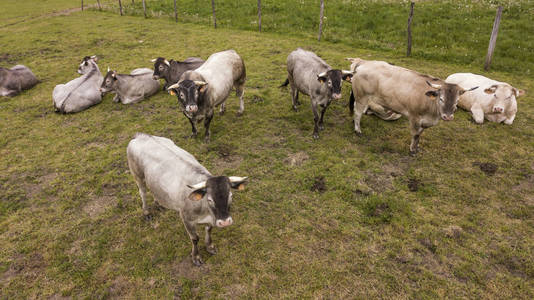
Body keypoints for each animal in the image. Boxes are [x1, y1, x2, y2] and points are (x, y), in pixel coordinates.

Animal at [127, 132, 249, 266]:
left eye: (231, 196)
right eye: (210, 199)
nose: (225, 222)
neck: (205, 210)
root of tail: (141, 135)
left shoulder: (211, 219)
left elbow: (209, 230)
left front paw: (210, 246)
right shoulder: (186, 218)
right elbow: (195, 238)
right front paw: (196, 257)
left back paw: (158, 203)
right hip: (137, 175)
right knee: (143, 193)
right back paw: (147, 212)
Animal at [350, 57, 480, 155]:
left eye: (457, 101)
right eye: (441, 99)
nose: (448, 117)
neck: (433, 113)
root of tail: (365, 62)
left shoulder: (425, 122)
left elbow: (420, 134)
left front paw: (416, 147)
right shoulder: (414, 117)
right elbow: (415, 134)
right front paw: (412, 150)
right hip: (361, 96)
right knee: (358, 112)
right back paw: (358, 130)